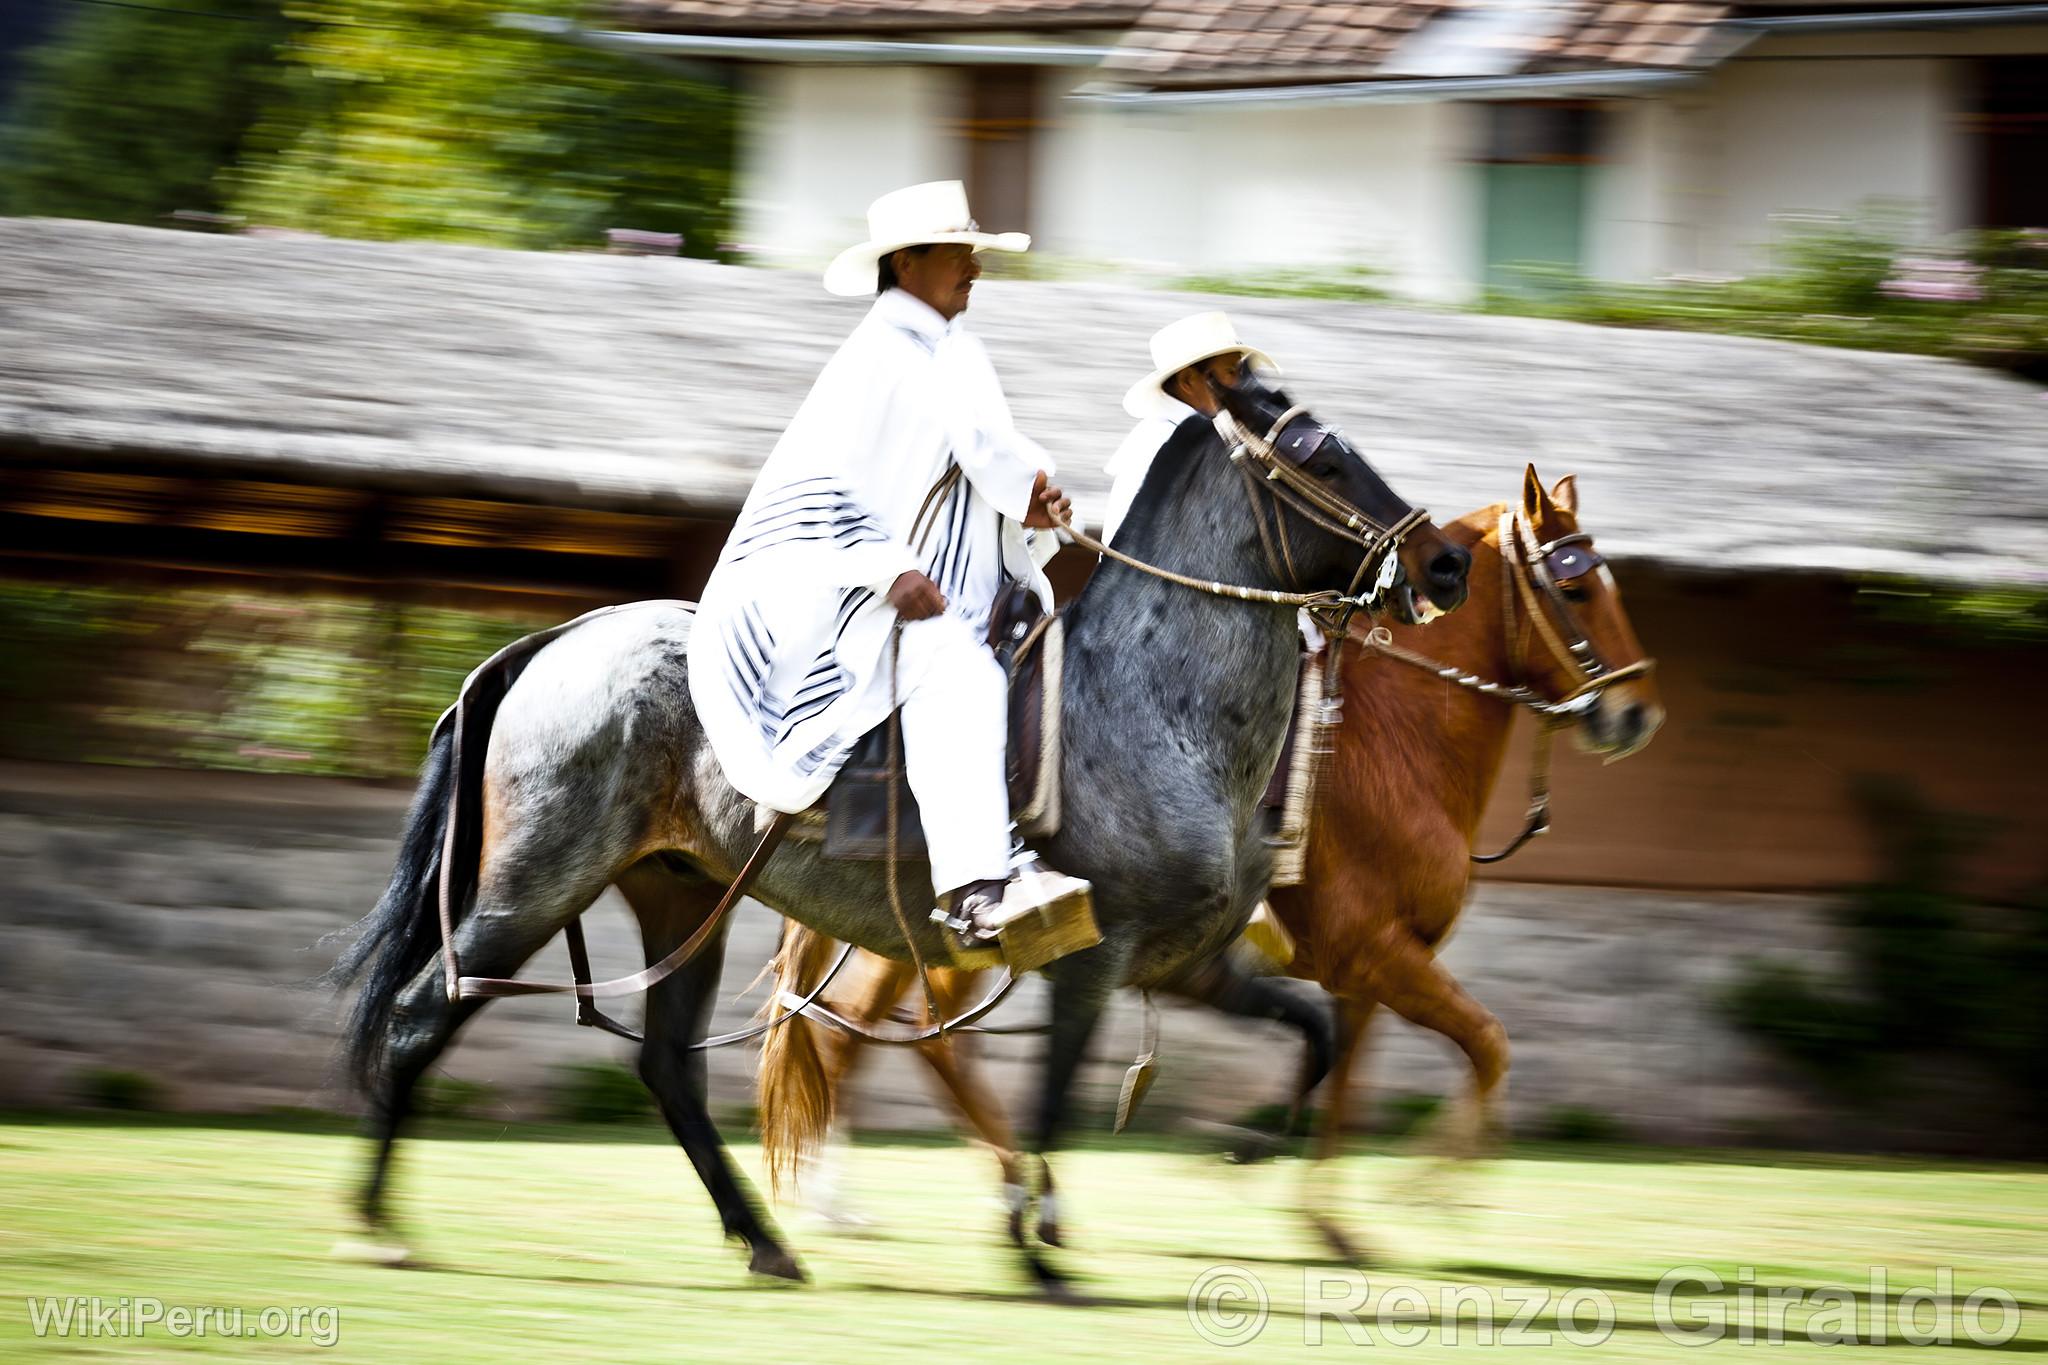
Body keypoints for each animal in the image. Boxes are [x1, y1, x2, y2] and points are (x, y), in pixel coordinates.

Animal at [331, 370, 1474, 1285]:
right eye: (1320, 450)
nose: (1445, 563)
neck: (1158, 708)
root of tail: (559, 639)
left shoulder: (1189, 962)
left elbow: (1313, 1029)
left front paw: (1241, 1150)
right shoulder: (1093, 962)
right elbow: (1053, 1101)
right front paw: (1037, 1248)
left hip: (681, 894)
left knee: (668, 1068)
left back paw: (766, 1242)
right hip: (534, 883)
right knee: (422, 1014)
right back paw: (376, 1226)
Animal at [761, 466, 1654, 1252]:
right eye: (1577, 587)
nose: (1636, 712)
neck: (1399, 740)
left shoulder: (1365, 972)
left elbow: (1346, 1081)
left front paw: (1324, 1214)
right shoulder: (1376, 954)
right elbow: (1487, 1042)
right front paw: (1431, 1182)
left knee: (876, 1036)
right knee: (904, 1037)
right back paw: (953, 1192)